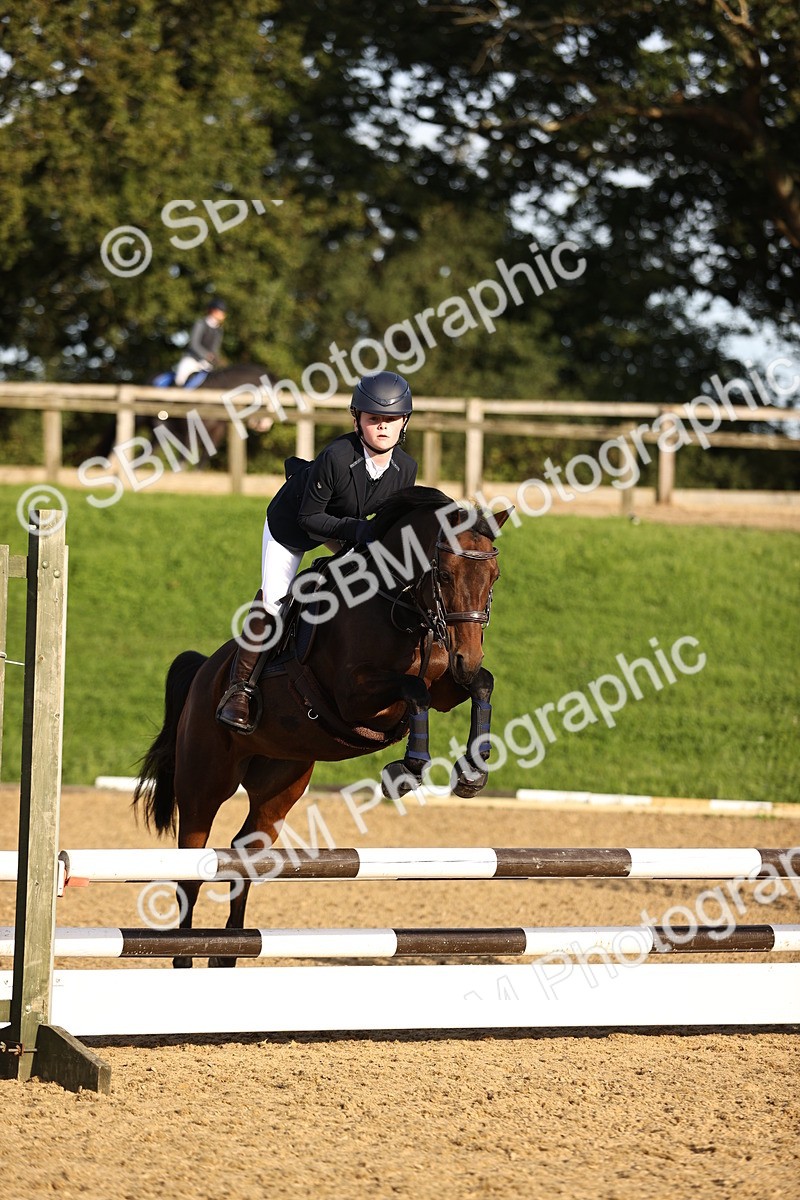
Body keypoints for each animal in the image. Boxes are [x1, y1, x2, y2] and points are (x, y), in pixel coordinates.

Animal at [133, 487, 513, 968]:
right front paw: (406, 770)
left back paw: (228, 952)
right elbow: (414, 691)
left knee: (244, 854)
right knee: (192, 867)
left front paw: (472, 772)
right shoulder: (355, 696)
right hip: (204, 782)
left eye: (494, 577)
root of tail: (205, 672)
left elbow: (479, 685)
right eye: (444, 574)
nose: (468, 656)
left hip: (280, 784)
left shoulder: (447, 684)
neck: (401, 608)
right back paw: (184, 957)